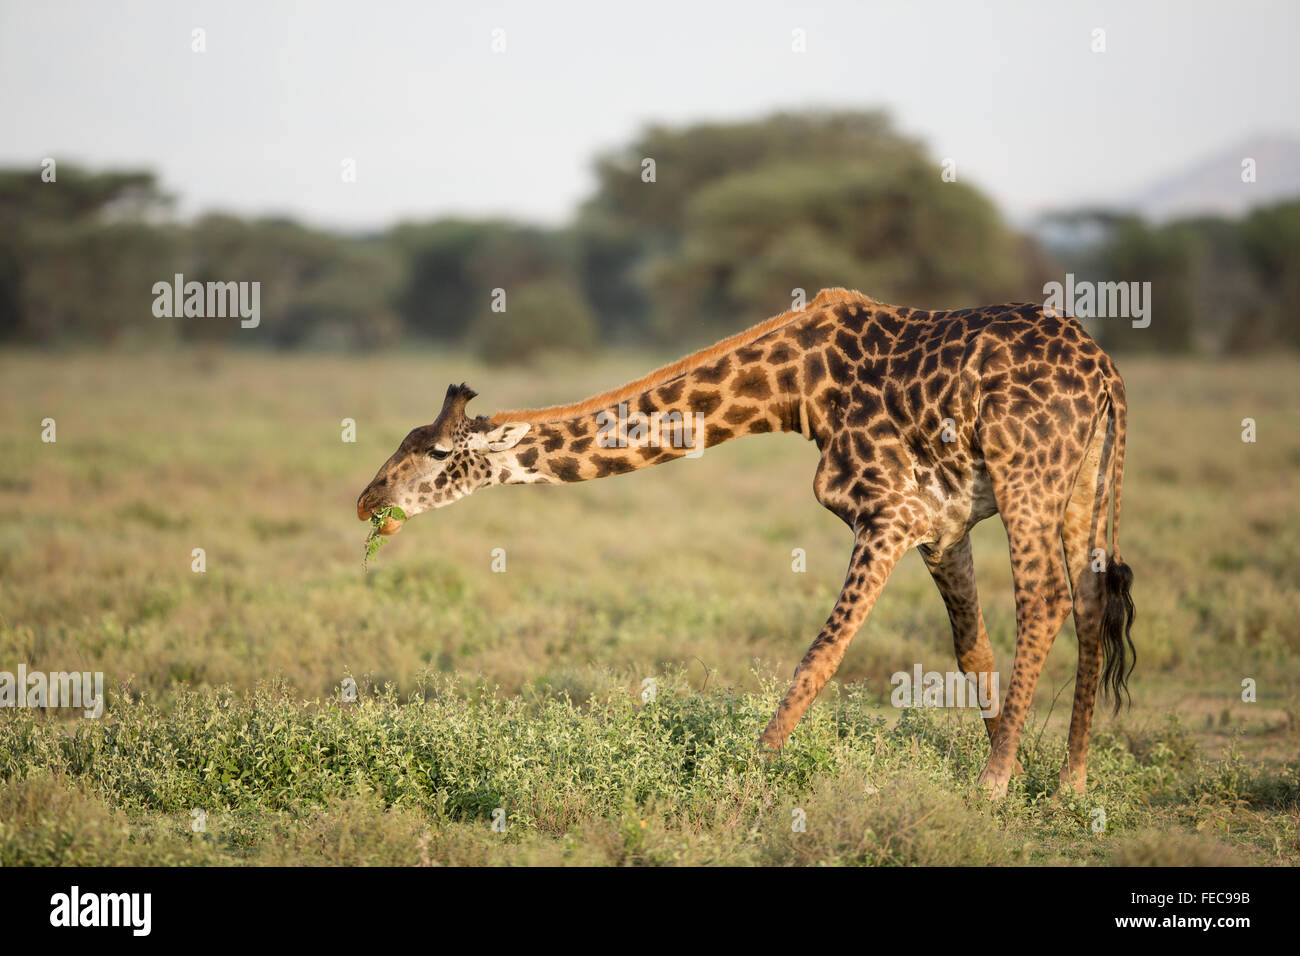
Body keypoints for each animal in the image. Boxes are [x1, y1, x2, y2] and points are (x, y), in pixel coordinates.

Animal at [358, 287, 1138, 796]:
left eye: (435, 453)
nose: (367, 500)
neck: (797, 388)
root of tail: (1106, 374)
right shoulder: (942, 527)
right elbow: (970, 649)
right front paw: (1018, 767)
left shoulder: (890, 514)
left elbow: (821, 653)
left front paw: (750, 773)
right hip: (1082, 485)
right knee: (1090, 602)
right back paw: (1070, 782)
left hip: (1026, 475)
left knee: (1044, 600)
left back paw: (994, 786)